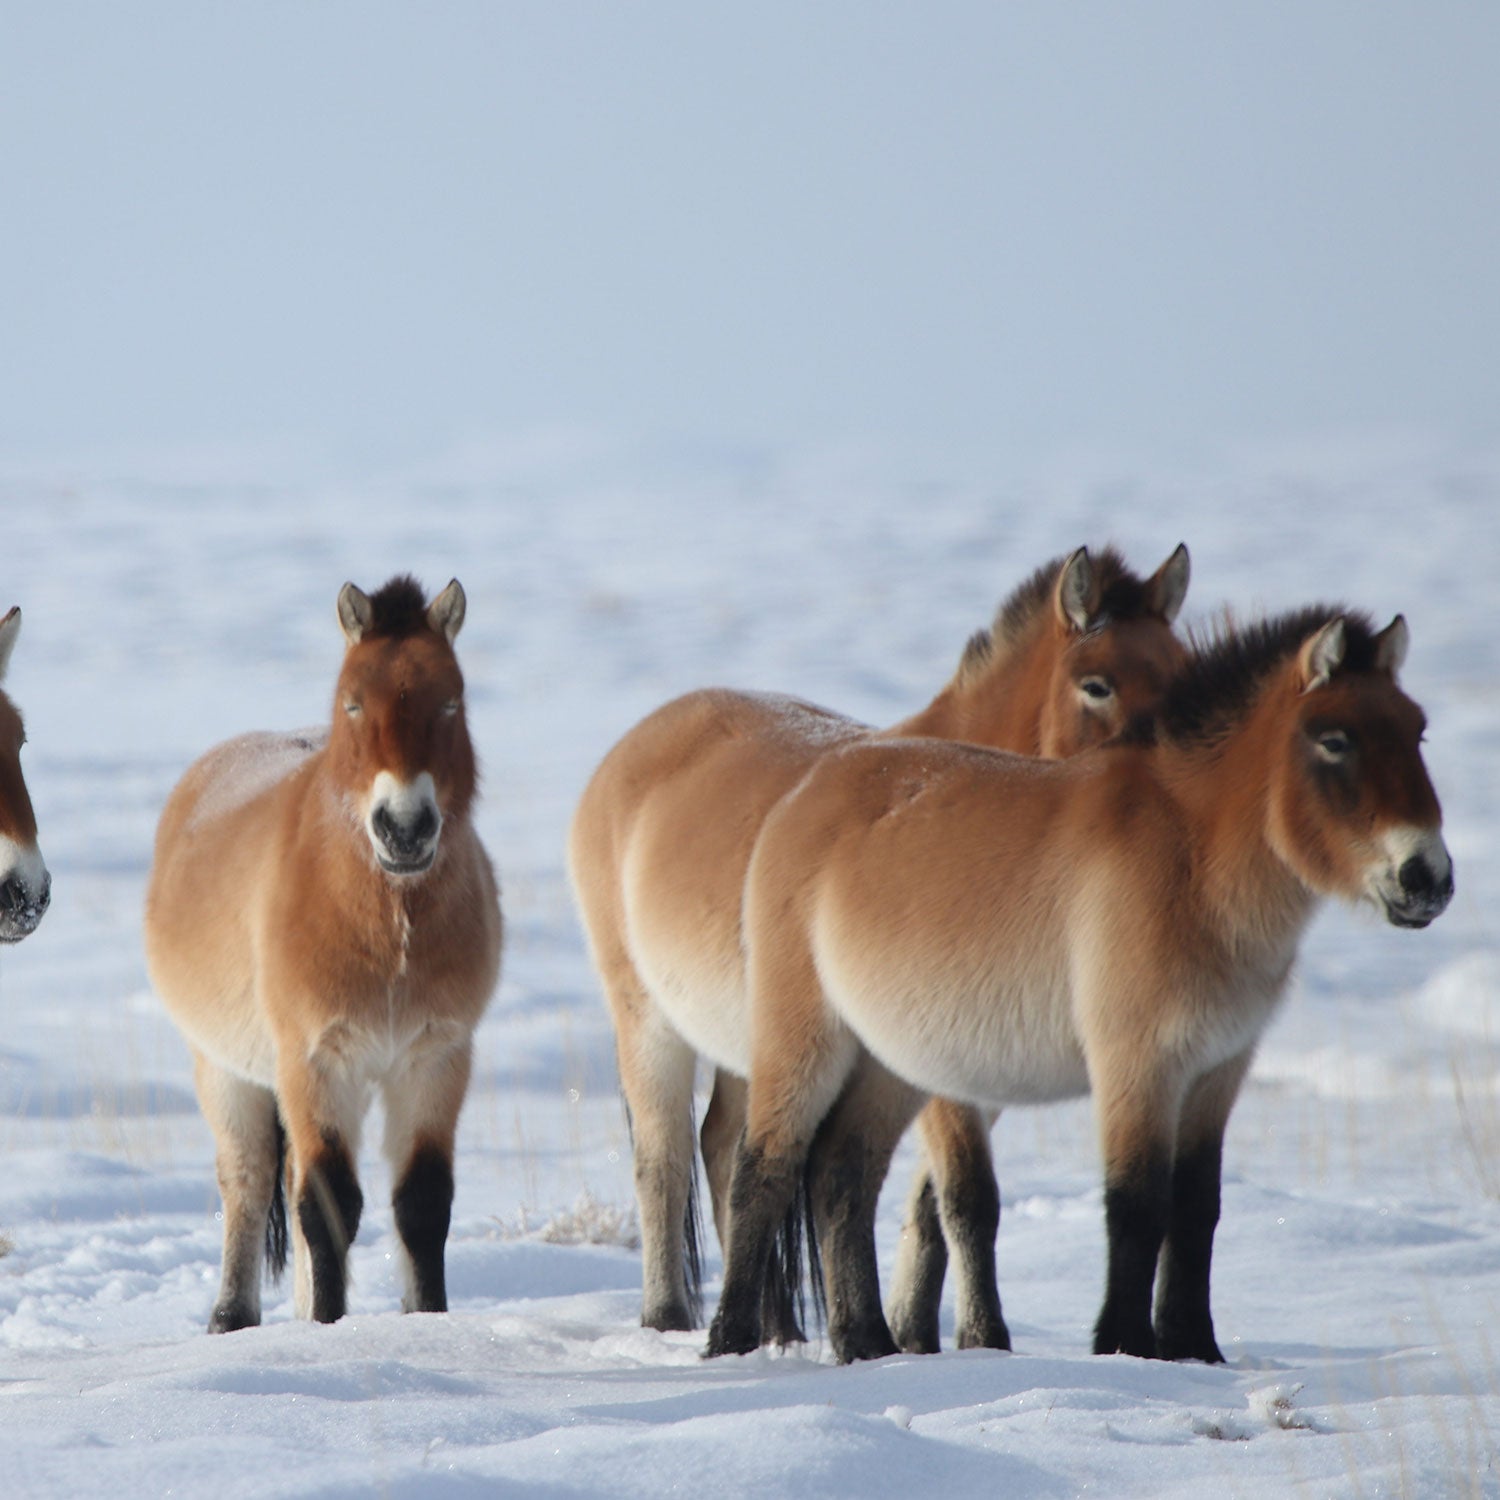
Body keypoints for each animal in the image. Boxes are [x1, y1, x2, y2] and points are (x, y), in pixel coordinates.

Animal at [144, 576, 502, 1330]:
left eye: (450, 701)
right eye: (353, 703)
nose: (404, 828)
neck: (387, 925)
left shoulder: (434, 1061)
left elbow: (422, 1204)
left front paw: (427, 1321)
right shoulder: (316, 1062)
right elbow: (327, 1207)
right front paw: (328, 1335)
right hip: (227, 1071)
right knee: (249, 1181)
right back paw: (233, 1315)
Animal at [568, 543, 1190, 1342]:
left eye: (1183, 671)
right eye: (1097, 684)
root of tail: (635, 747)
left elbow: (927, 1206)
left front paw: (915, 1334)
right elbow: (968, 1199)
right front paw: (982, 1338)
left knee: (723, 1145)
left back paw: (778, 1328)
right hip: (650, 1021)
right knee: (663, 1161)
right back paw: (670, 1317)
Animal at [706, 605, 1452, 1364]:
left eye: (1417, 731)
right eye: (1335, 740)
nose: (1427, 878)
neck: (1190, 859)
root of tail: (808, 787)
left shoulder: (1216, 1072)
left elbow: (1196, 1209)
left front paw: (1194, 1348)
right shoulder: (1138, 1064)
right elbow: (1137, 1204)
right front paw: (1124, 1344)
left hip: (894, 1065)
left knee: (841, 1174)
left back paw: (868, 1343)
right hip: (806, 1043)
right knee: (762, 1169)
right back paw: (731, 1341)